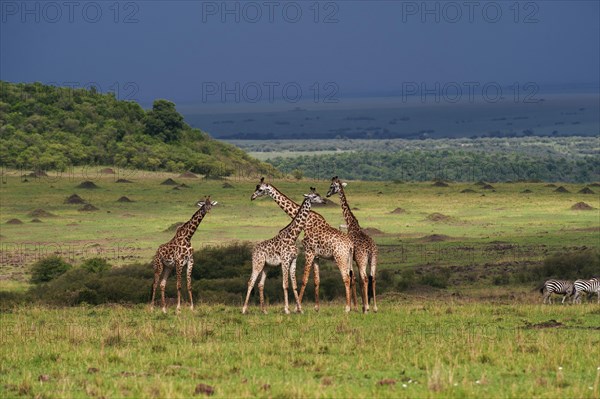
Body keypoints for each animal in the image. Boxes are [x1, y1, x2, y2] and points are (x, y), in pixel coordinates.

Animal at [241, 188, 324, 316]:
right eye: (314, 196)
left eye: (318, 194)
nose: (324, 201)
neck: (293, 236)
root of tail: (253, 251)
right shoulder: (285, 261)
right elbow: (285, 285)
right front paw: (287, 309)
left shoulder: (293, 260)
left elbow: (294, 285)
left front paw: (300, 309)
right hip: (257, 263)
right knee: (250, 282)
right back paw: (244, 309)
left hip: (266, 266)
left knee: (260, 284)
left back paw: (264, 310)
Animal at [250, 180, 356, 314]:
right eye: (257, 188)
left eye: (260, 189)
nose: (252, 197)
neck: (307, 222)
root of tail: (350, 244)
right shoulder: (316, 255)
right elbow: (316, 280)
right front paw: (316, 308)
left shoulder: (309, 251)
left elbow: (304, 279)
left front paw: (297, 307)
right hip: (348, 259)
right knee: (353, 277)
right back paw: (356, 307)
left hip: (340, 258)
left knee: (347, 278)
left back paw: (348, 308)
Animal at [326, 177, 378, 314]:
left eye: (332, 186)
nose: (327, 194)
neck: (351, 224)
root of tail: (370, 249)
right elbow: (356, 279)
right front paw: (361, 305)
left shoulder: (352, 258)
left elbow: (353, 278)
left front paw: (358, 306)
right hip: (373, 260)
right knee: (372, 277)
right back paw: (375, 307)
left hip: (362, 260)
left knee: (365, 278)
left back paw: (367, 308)